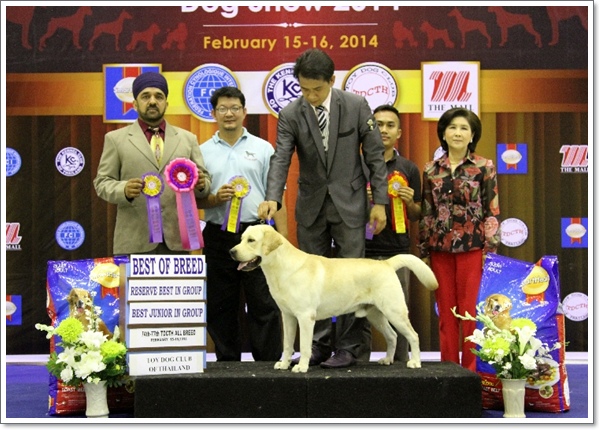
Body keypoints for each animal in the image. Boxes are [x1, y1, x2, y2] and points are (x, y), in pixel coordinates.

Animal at [229, 225, 439, 373]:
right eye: (241, 239)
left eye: (251, 240)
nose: (232, 252)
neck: (280, 269)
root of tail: (386, 263)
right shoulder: (288, 316)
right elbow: (288, 344)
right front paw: (283, 364)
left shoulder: (305, 317)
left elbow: (304, 346)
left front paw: (301, 367)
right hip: (376, 315)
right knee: (392, 336)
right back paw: (387, 360)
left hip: (394, 311)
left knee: (413, 335)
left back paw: (416, 362)